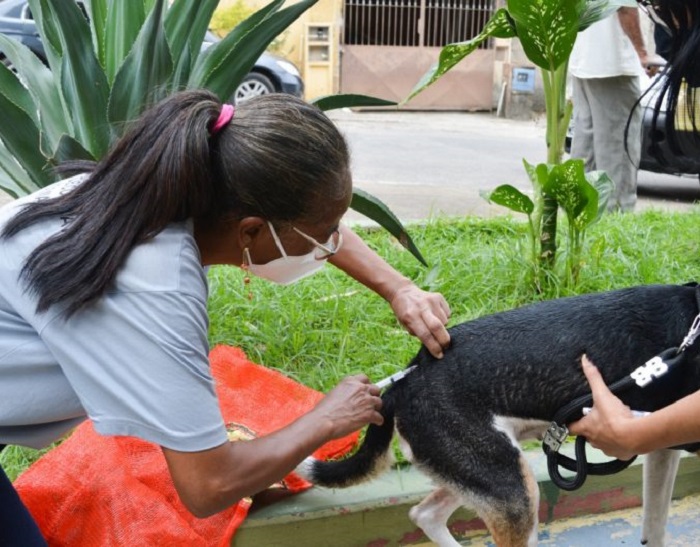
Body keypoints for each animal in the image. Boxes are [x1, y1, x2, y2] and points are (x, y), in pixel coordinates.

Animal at [297, 284, 700, 546]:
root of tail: (410, 375)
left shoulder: (661, 447)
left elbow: (655, 527)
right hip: (512, 492)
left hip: (486, 473)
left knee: (425, 514)